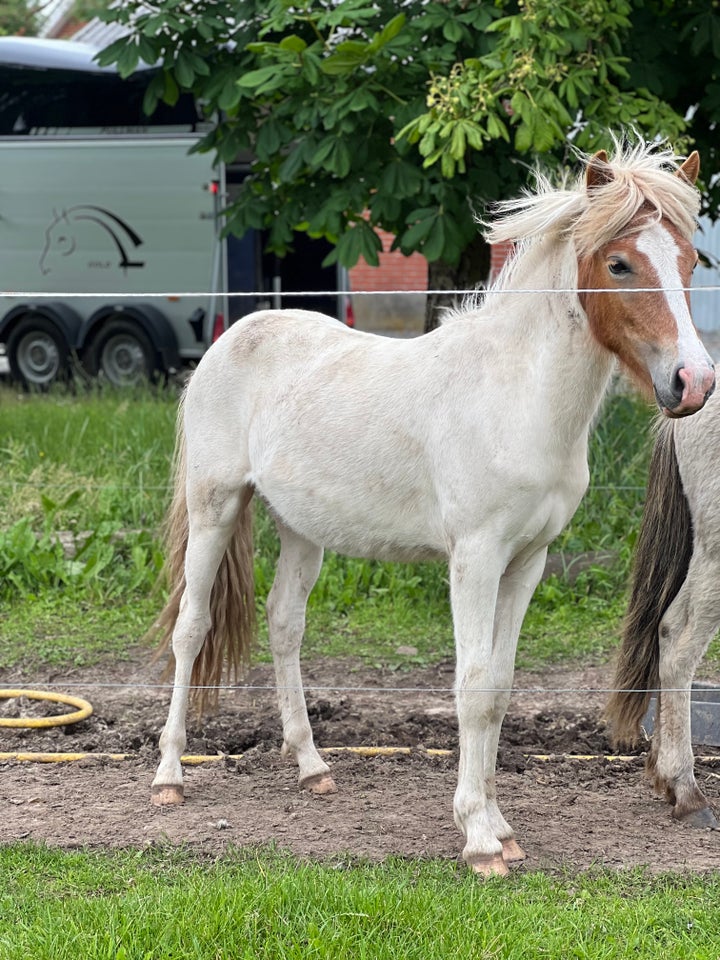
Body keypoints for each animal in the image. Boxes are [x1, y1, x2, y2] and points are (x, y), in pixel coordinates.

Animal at [152, 141, 716, 876]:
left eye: (689, 260)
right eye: (620, 263)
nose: (693, 381)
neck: (515, 398)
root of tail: (237, 331)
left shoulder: (526, 563)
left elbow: (500, 689)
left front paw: (502, 828)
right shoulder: (474, 559)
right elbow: (473, 688)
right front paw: (478, 839)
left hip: (301, 529)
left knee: (284, 625)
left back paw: (312, 767)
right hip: (215, 507)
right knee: (190, 629)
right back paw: (168, 777)